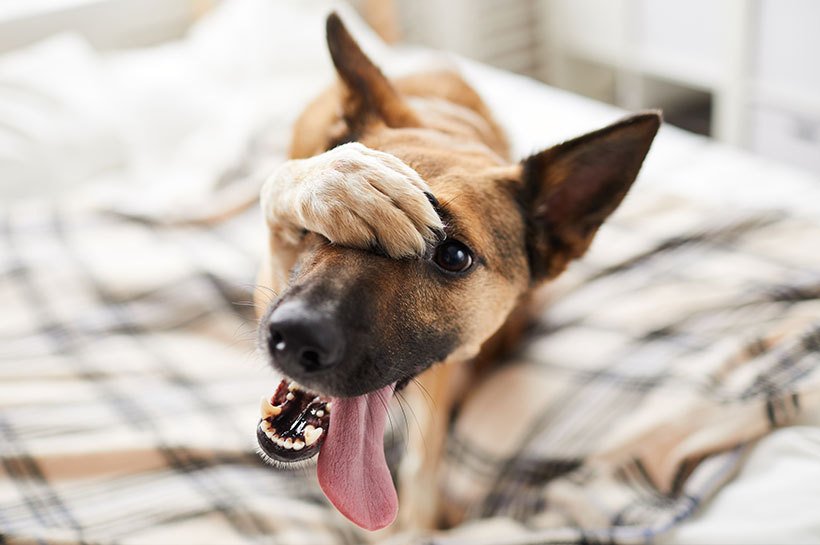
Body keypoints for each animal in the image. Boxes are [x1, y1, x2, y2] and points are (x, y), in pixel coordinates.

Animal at [253, 11, 656, 532]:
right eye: (323, 227)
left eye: (454, 257)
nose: (297, 336)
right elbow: (286, 183)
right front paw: (342, 180)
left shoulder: (441, 379)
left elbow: (424, 463)